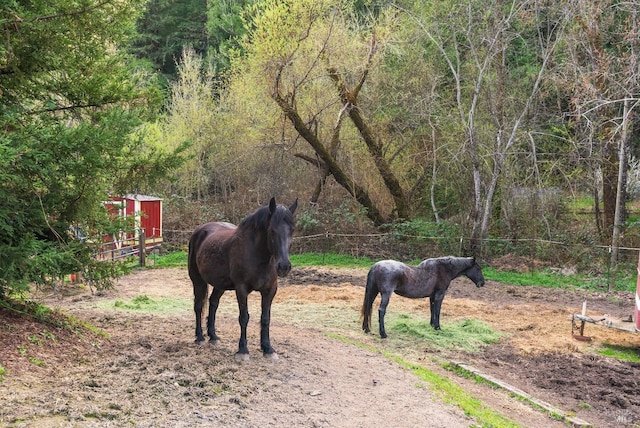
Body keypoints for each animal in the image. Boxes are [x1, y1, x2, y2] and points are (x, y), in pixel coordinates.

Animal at [188, 199, 298, 360]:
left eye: (292, 230)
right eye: (272, 230)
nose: (284, 266)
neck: (258, 256)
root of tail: (199, 231)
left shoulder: (270, 290)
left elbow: (266, 318)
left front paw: (268, 349)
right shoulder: (241, 289)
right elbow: (244, 317)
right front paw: (243, 350)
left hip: (220, 284)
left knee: (213, 304)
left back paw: (213, 337)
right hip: (197, 280)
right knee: (198, 306)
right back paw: (200, 337)